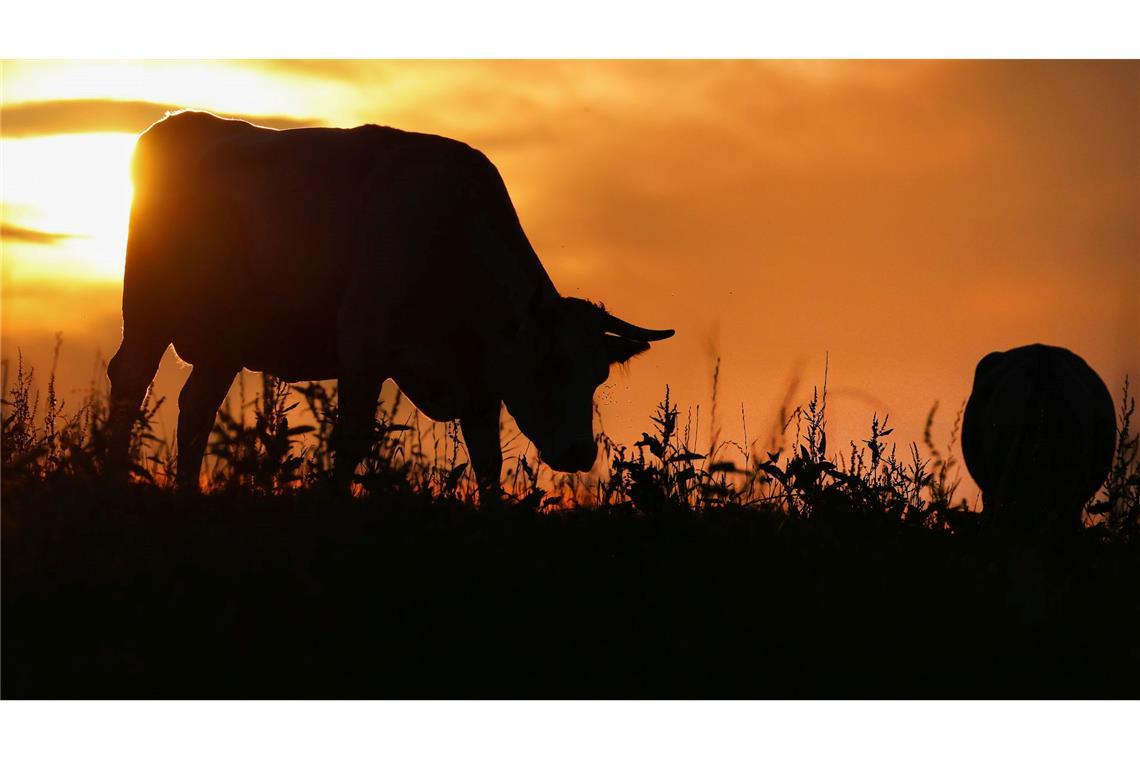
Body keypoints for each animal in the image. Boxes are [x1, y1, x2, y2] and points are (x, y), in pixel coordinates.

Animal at [104, 111, 674, 494]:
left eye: (598, 375)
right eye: (551, 366)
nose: (580, 452)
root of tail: (178, 122)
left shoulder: (481, 383)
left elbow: (487, 459)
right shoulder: (364, 347)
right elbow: (353, 438)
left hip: (226, 341)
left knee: (196, 406)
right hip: (148, 312)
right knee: (131, 379)